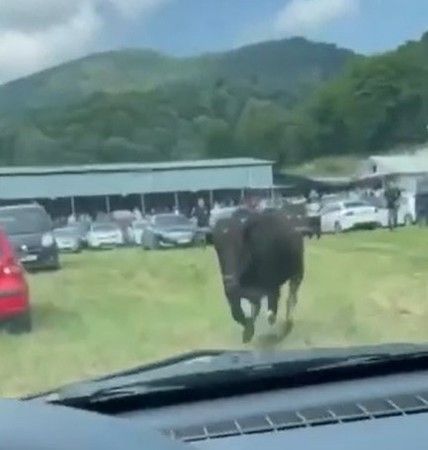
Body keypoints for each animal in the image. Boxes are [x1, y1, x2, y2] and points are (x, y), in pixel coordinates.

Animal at [212, 209, 302, 342]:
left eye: (239, 246)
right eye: (218, 248)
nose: (229, 280)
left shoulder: (270, 285)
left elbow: (269, 304)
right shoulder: (233, 290)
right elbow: (237, 311)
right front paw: (248, 331)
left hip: (297, 272)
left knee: (291, 296)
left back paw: (287, 321)